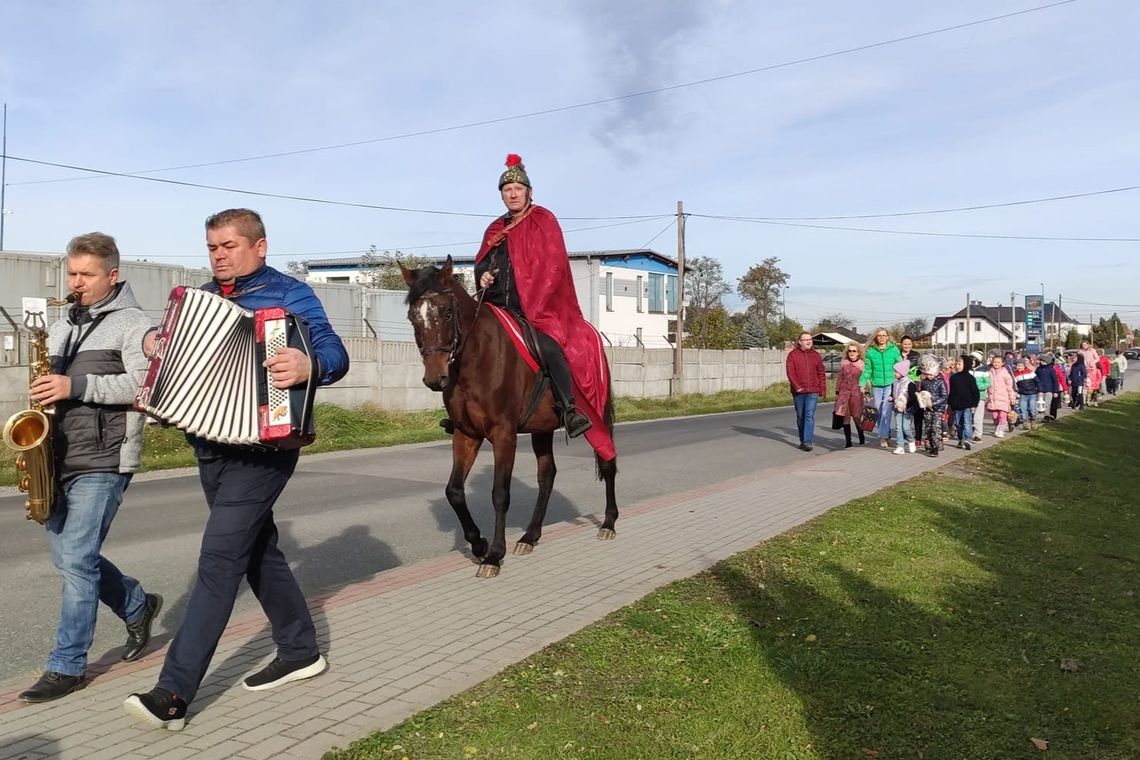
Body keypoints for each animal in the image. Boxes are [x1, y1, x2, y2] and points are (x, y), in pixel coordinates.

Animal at [401, 258, 615, 578]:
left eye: (447, 312)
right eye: (413, 318)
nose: (434, 378)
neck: (476, 360)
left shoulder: (504, 434)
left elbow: (500, 493)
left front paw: (493, 555)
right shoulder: (466, 434)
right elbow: (454, 491)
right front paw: (478, 543)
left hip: (597, 414)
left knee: (608, 461)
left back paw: (609, 523)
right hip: (542, 429)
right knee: (547, 476)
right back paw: (530, 536)